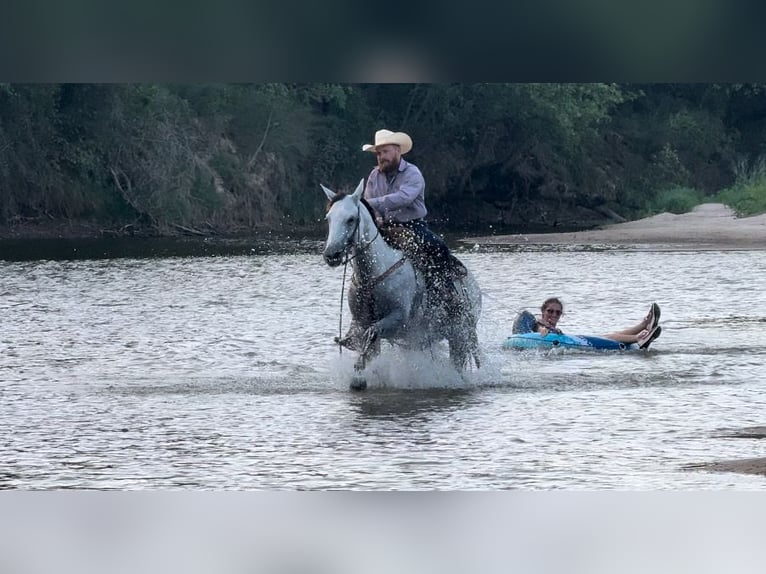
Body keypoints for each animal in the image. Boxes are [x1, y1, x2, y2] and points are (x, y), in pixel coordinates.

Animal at [322, 180, 480, 392]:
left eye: (351, 219)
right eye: (329, 218)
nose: (331, 255)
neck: (373, 274)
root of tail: (473, 285)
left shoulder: (398, 318)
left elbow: (372, 334)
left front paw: (358, 374)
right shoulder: (361, 322)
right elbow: (367, 342)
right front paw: (361, 376)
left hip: (460, 334)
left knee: (458, 362)